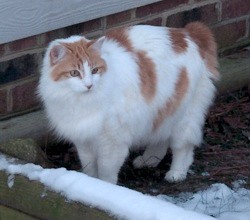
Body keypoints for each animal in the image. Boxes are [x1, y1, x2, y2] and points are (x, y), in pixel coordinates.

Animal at [38, 21, 220, 184]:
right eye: (74, 73)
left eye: (95, 70)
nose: (89, 85)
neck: (81, 101)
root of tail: (188, 33)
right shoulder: (84, 141)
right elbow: (90, 167)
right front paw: (92, 184)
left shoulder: (112, 142)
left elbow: (106, 171)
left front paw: (105, 188)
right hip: (160, 110)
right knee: (161, 140)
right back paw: (148, 160)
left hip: (184, 115)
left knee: (183, 147)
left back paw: (176, 173)